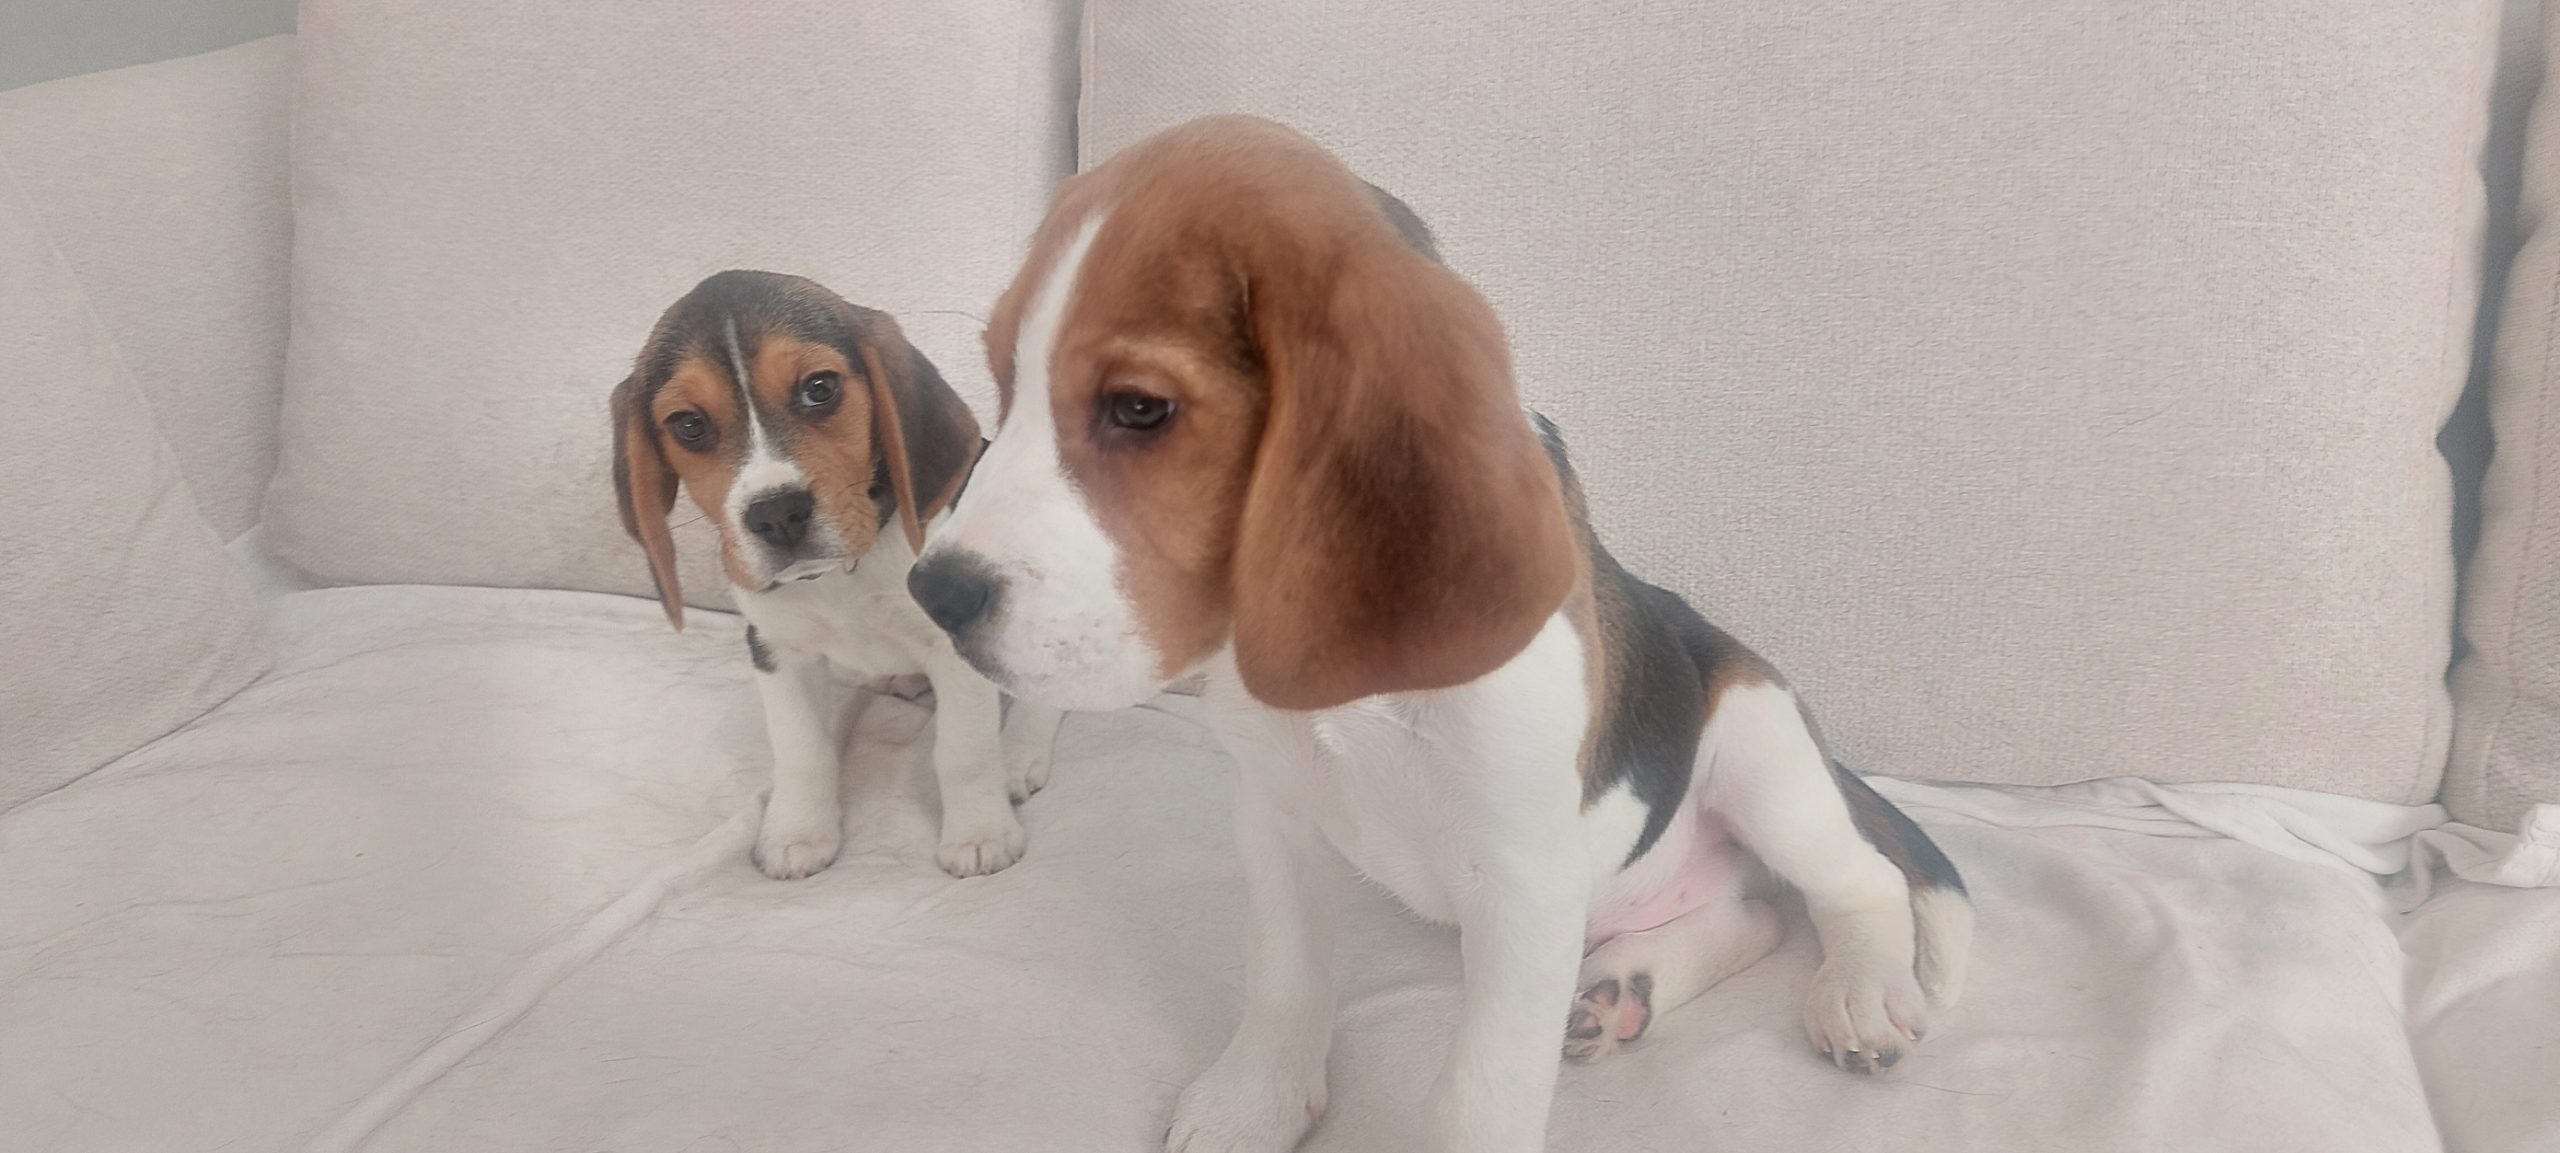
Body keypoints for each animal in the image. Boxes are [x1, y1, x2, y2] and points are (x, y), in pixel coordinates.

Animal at [612, 270, 1060, 879]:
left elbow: (963, 751)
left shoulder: (951, 644)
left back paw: (1019, 755)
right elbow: (802, 751)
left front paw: (980, 832)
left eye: (819, 388)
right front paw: (797, 832)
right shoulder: (776, 649)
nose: (777, 514)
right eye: (688, 425)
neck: (843, 577)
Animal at [905, 117, 1973, 1152]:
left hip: (1761, 755)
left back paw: (1860, 990)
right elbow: (1283, 978)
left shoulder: (1524, 883)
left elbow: (1482, 1093)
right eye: (1002, 385)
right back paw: (1625, 988)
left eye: (1138, 408)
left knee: (1857, 881)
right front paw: (1256, 1104)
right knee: (1751, 913)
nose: (931, 591)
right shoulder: (1278, 816)